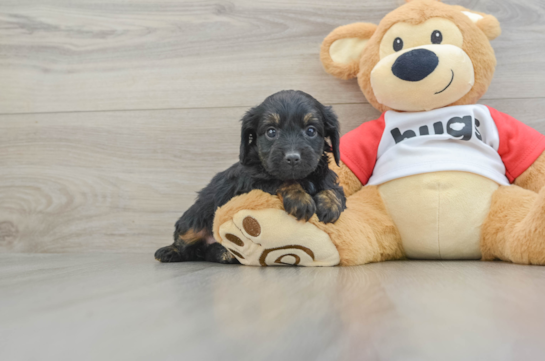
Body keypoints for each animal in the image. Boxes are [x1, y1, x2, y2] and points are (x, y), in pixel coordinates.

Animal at [155, 90, 346, 262]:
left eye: (311, 131)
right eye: (271, 132)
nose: (292, 158)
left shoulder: (324, 173)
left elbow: (332, 187)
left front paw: (330, 204)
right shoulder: (251, 181)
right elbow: (281, 180)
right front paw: (300, 199)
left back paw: (224, 254)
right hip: (195, 218)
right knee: (185, 241)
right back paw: (168, 252)